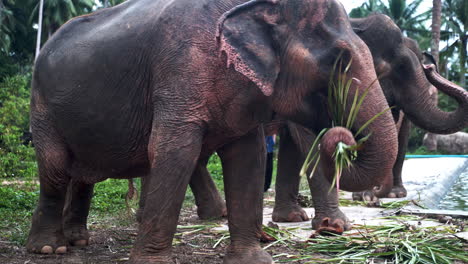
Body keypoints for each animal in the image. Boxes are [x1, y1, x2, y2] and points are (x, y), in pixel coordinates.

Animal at [28, 1, 398, 262]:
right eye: (338, 59)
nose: (340, 136)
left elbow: (247, 158)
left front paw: (253, 260)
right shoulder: (179, 70)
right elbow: (173, 151)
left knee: (82, 174)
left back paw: (77, 240)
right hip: (41, 105)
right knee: (55, 168)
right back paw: (49, 249)